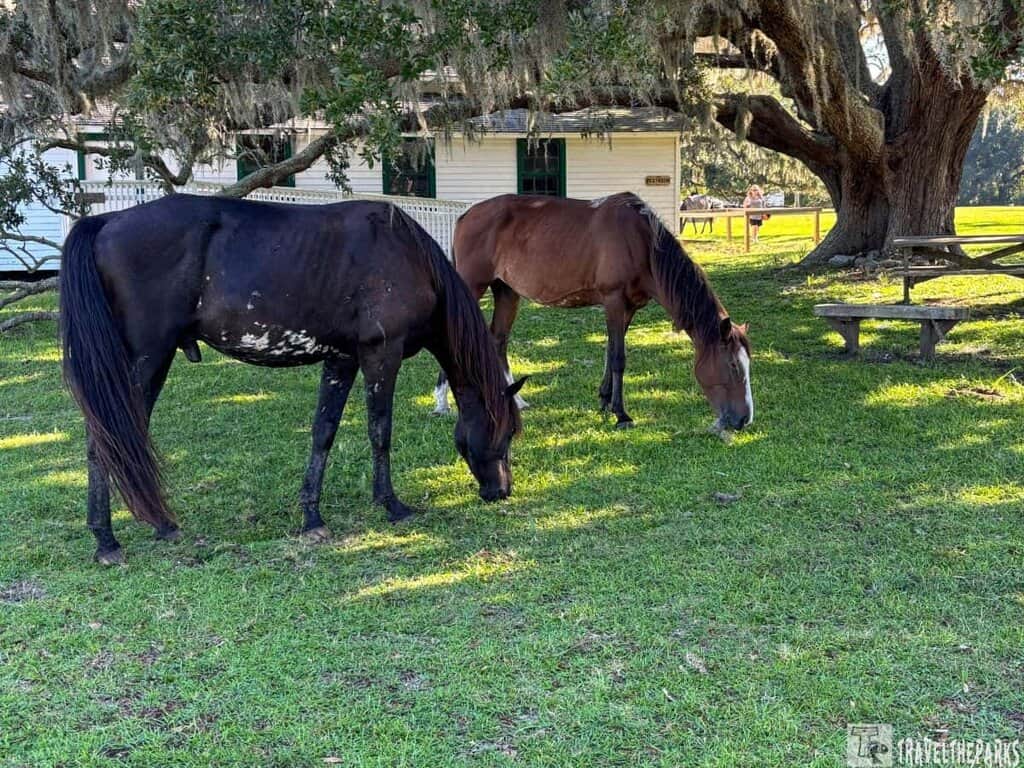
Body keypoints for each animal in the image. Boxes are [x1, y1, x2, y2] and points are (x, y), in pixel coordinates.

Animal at [60, 195, 524, 565]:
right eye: (506, 432)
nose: (502, 491)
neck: (406, 255)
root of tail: (107, 221)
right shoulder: (381, 355)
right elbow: (380, 431)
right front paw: (391, 504)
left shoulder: (341, 359)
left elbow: (324, 432)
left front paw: (312, 516)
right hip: (146, 358)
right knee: (107, 438)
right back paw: (107, 541)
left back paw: (157, 525)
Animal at [433, 192, 753, 430]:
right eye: (733, 366)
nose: (744, 420)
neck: (642, 242)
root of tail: (465, 216)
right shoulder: (613, 301)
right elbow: (618, 358)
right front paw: (621, 414)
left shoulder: (629, 308)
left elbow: (610, 352)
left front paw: (605, 401)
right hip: (473, 285)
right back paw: (441, 403)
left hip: (506, 291)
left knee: (498, 340)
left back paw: (516, 401)